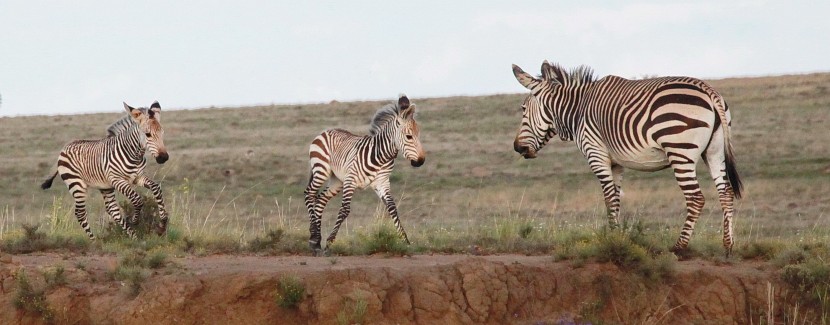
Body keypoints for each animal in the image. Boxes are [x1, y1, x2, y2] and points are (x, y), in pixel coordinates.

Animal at [41, 101, 171, 238]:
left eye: (162, 132)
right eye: (148, 134)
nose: (163, 157)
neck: (134, 155)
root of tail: (64, 148)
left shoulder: (137, 177)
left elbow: (156, 188)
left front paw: (162, 224)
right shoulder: (117, 180)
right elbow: (137, 200)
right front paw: (135, 220)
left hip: (105, 187)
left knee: (112, 209)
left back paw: (133, 236)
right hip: (77, 185)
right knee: (80, 213)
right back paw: (94, 239)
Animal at [304, 93, 426, 253]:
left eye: (419, 135)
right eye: (409, 137)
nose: (421, 161)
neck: (381, 155)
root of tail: (326, 131)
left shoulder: (382, 182)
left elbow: (392, 208)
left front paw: (405, 240)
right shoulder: (351, 180)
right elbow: (345, 210)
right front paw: (330, 241)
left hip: (337, 180)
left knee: (320, 199)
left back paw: (317, 241)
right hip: (321, 170)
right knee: (309, 193)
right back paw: (314, 237)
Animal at [512, 60, 748, 256]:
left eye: (523, 109)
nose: (517, 147)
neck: (578, 109)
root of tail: (709, 91)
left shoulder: (596, 154)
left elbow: (608, 199)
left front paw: (613, 239)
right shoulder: (616, 163)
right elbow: (616, 200)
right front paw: (618, 236)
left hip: (680, 150)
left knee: (696, 198)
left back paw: (679, 247)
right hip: (714, 151)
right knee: (725, 193)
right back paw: (728, 246)